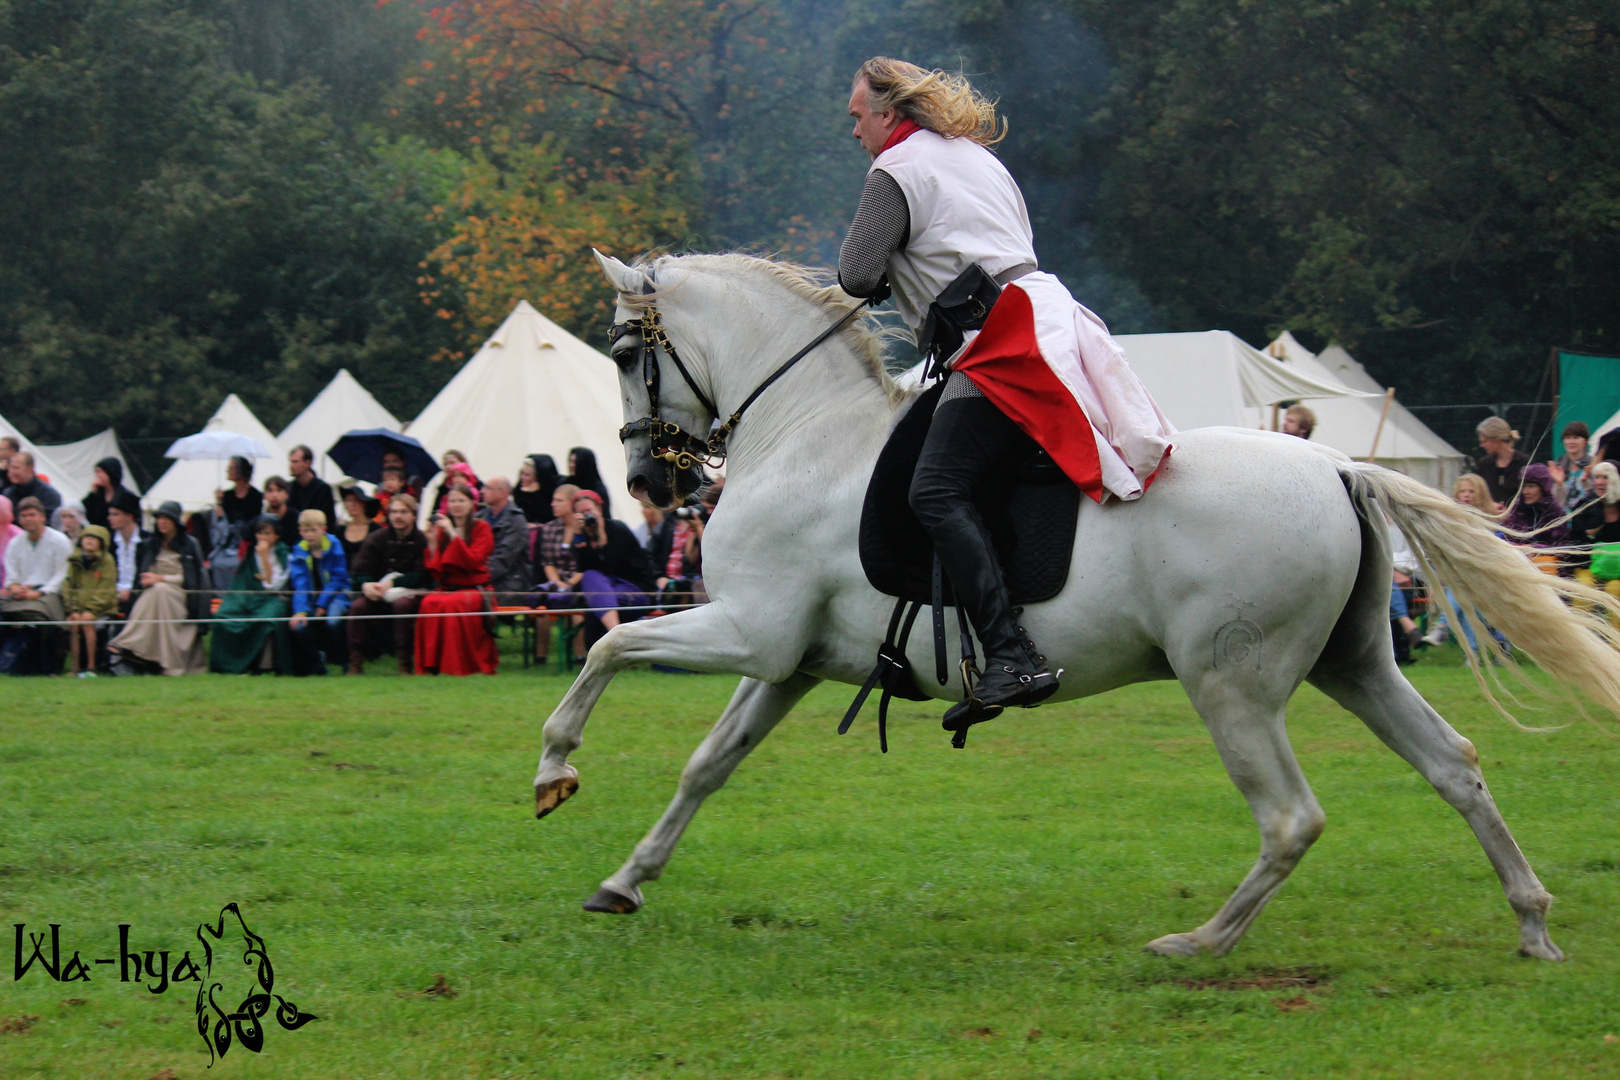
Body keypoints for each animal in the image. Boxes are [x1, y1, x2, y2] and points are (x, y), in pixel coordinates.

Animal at [537, 249, 1620, 958]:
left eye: (626, 352)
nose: (648, 483)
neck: (807, 434)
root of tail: (1338, 465)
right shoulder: (787, 664)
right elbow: (707, 765)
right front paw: (625, 880)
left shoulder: (748, 636)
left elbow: (605, 653)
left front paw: (555, 769)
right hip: (1353, 667)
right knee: (1455, 766)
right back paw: (1531, 921)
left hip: (1233, 689)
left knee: (1291, 819)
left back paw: (1202, 942)